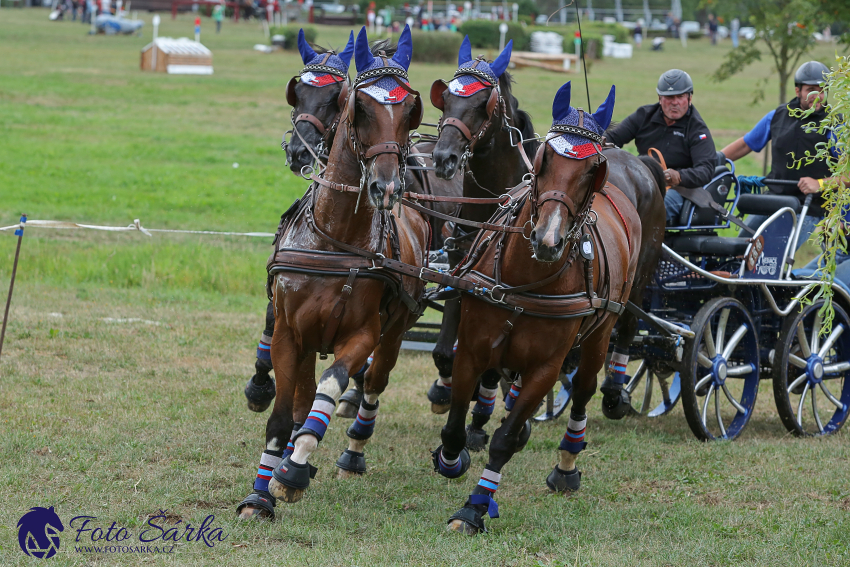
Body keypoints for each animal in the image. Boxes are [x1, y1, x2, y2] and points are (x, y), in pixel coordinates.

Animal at [235, 27, 428, 524]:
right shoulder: (290, 333)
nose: (386, 186)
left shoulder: (362, 334)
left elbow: (329, 387)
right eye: (360, 107)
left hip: (396, 329)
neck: (334, 240)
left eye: (410, 111)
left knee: (372, 382)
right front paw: (259, 495)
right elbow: (284, 413)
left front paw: (293, 471)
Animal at [424, 38, 536, 440]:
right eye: (445, 98)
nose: (443, 158)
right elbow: (446, 353)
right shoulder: (460, 275)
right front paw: (446, 391)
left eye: (481, 103)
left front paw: (478, 416)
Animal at [430, 82, 644, 536]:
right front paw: (451, 458)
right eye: (544, 157)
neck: (523, 279)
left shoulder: (546, 368)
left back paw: (566, 465)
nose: (548, 239)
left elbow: (505, 441)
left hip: (601, 333)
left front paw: (474, 508)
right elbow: (455, 425)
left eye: (591, 170)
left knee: (583, 391)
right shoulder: (472, 347)